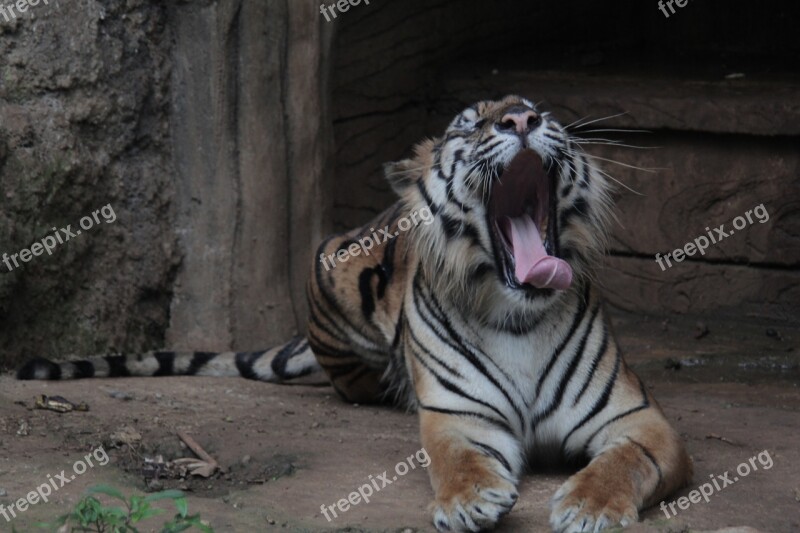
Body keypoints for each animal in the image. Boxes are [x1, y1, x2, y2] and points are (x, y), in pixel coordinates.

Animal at [18, 95, 692, 532]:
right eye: (469, 126)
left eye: (541, 112)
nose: (522, 120)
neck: (517, 313)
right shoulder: (459, 418)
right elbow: (459, 462)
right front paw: (470, 502)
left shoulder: (638, 420)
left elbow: (624, 461)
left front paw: (589, 507)